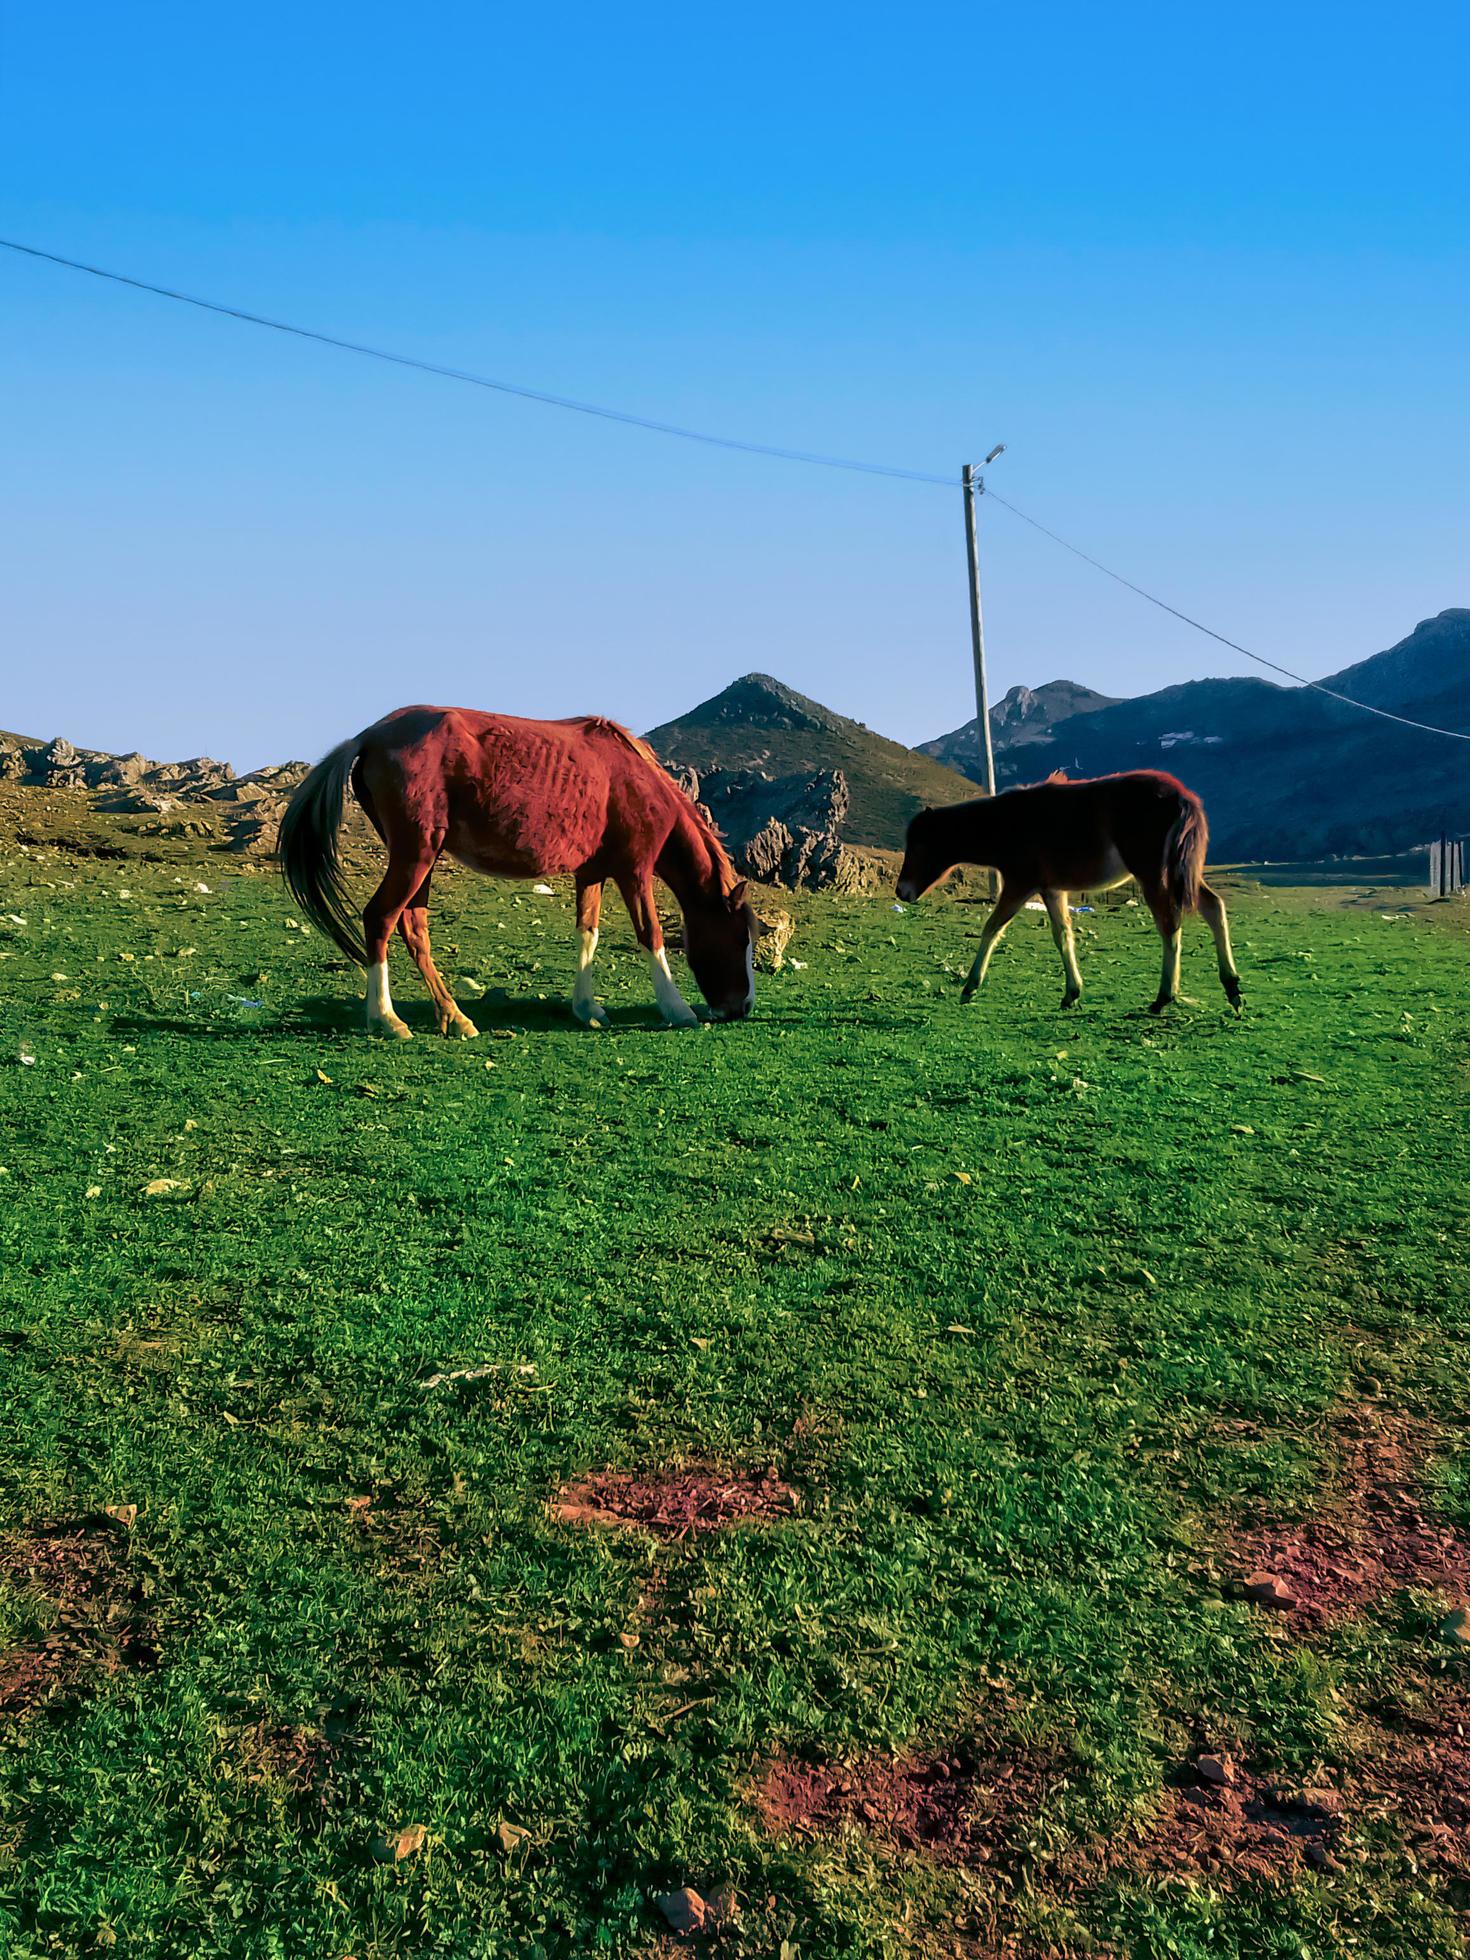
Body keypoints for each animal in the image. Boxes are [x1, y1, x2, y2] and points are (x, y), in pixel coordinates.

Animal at [278, 709, 760, 1042]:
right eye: (740, 939)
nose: (742, 1008)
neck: (635, 780)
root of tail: (369, 736)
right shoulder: (634, 870)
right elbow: (651, 935)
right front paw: (677, 1010)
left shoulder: (592, 873)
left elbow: (588, 933)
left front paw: (587, 1008)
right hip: (416, 853)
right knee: (380, 918)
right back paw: (386, 1018)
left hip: (422, 859)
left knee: (413, 928)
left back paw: (454, 1016)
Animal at [897, 764, 1246, 1011]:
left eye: (919, 846)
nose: (902, 891)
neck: (1007, 823)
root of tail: (1182, 796)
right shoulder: (1051, 889)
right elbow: (1062, 934)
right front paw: (1071, 993)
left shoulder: (1020, 883)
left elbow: (992, 927)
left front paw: (970, 986)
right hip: (1178, 871)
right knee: (1212, 906)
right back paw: (1231, 987)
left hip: (1151, 874)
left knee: (1169, 924)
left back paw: (1164, 997)